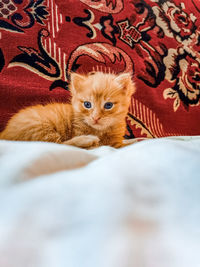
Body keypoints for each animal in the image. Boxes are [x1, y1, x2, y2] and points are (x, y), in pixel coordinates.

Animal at [0, 71, 136, 149]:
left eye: (108, 105)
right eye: (87, 104)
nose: (95, 117)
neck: (101, 131)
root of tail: (4, 133)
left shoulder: (116, 142)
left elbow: (124, 143)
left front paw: (133, 140)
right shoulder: (78, 130)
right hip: (40, 127)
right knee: (57, 144)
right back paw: (87, 140)